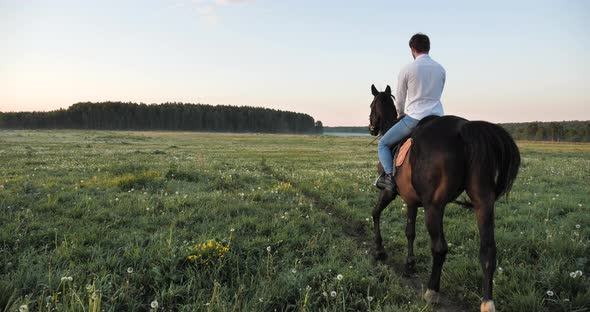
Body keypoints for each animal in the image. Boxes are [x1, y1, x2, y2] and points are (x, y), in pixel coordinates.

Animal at [368, 84, 524, 310]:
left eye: (372, 105)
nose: (371, 127)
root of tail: (464, 129)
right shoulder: (411, 200)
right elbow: (410, 232)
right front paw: (409, 264)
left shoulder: (389, 192)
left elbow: (376, 213)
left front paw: (379, 250)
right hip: (484, 204)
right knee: (488, 252)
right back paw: (487, 302)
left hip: (434, 206)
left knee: (440, 248)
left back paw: (432, 291)